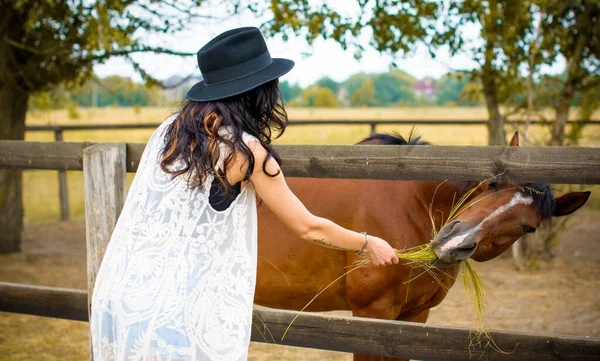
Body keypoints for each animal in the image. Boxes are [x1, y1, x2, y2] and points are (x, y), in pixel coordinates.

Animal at [253, 132, 592, 360]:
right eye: (493, 183)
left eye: (528, 227)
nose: (453, 242)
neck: (412, 203)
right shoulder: (371, 316)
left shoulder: (413, 317)